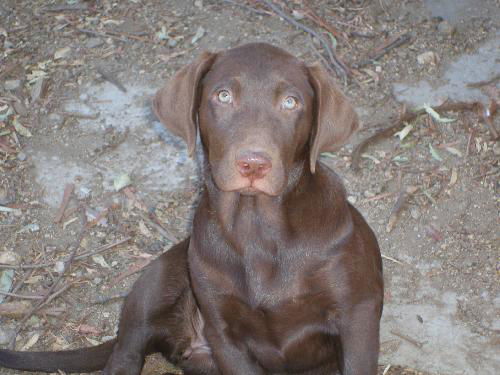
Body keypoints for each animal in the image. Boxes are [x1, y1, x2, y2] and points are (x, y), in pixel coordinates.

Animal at [0, 42, 382, 374]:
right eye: (223, 96)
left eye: (291, 102)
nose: (253, 164)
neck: (257, 227)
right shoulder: (224, 331)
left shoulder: (357, 316)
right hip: (156, 283)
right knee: (126, 353)